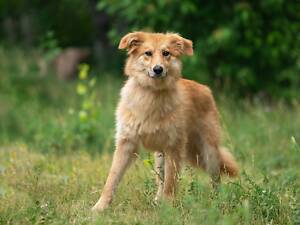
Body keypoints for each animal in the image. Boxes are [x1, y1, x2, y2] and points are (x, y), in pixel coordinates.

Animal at [92, 31, 238, 213]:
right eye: (147, 53)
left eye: (166, 53)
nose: (158, 69)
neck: (151, 94)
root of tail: (205, 89)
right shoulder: (127, 143)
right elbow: (112, 179)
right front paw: (100, 207)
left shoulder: (173, 147)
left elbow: (170, 182)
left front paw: (168, 210)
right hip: (161, 157)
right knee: (160, 180)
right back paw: (157, 201)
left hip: (208, 152)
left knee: (215, 178)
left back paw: (218, 202)